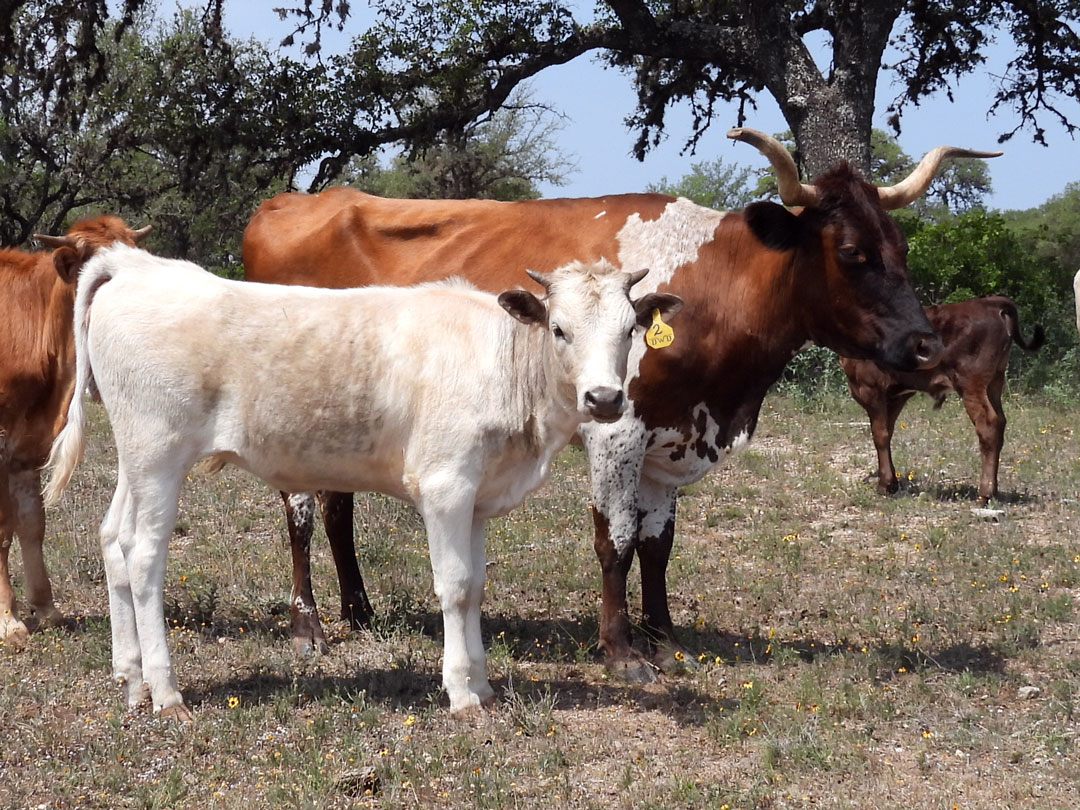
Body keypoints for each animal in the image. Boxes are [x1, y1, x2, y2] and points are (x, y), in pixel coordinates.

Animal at [0, 217, 147, 648]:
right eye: (99, 272)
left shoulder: (27, 447)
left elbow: (32, 523)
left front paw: (46, 608)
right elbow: (2, 529)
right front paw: (9, 621)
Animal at [46, 246, 682, 717]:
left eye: (630, 329)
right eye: (558, 329)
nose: (604, 398)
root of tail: (137, 264)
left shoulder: (477, 496)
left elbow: (476, 586)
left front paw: (483, 684)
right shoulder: (446, 484)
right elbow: (454, 586)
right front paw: (461, 693)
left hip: (134, 459)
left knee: (113, 539)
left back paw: (131, 679)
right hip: (159, 453)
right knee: (144, 555)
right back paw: (165, 691)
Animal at [243, 131, 993, 678]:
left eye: (901, 246)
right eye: (853, 252)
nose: (925, 345)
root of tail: (289, 203)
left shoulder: (672, 437)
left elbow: (659, 546)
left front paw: (663, 635)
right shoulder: (618, 430)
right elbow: (617, 540)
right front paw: (621, 650)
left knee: (336, 509)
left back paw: (359, 610)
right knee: (301, 514)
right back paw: (308, 624)